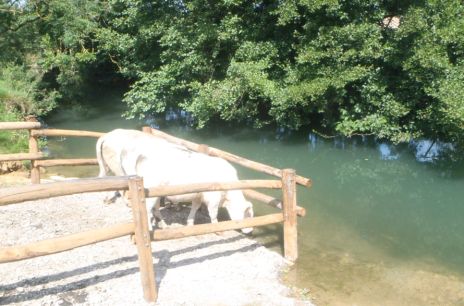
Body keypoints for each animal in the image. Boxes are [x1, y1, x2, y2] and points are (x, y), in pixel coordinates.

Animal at [95, 128, 254, 233]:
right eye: (247, 215)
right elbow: (213, 214)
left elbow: (195, 208)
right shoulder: (213, 197)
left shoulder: (198, 195)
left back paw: (163, 225)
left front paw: (190, 223)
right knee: (146, 207)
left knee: (154, 209)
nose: (251, 231)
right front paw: (218, 229)